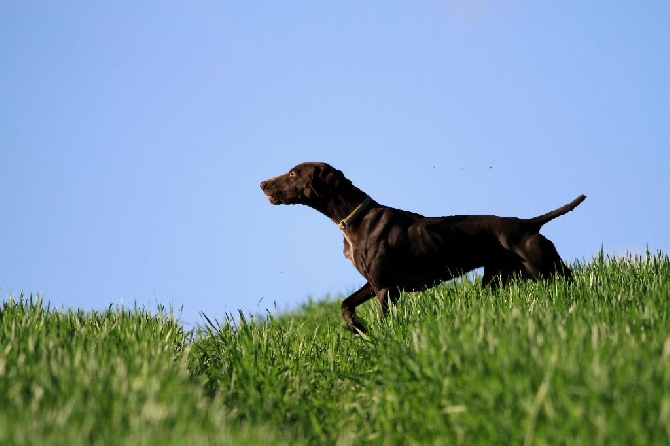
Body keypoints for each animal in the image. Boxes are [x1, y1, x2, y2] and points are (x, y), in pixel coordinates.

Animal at [260, 162, 584, 332]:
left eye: (293, 173)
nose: (262, 183)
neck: (354, 218)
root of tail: (529, 224)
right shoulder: (375, 282)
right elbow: (345, 304)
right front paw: (357, 327)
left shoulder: (385, 288)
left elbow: (384, 319)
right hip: (499, 278)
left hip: (544, 268)